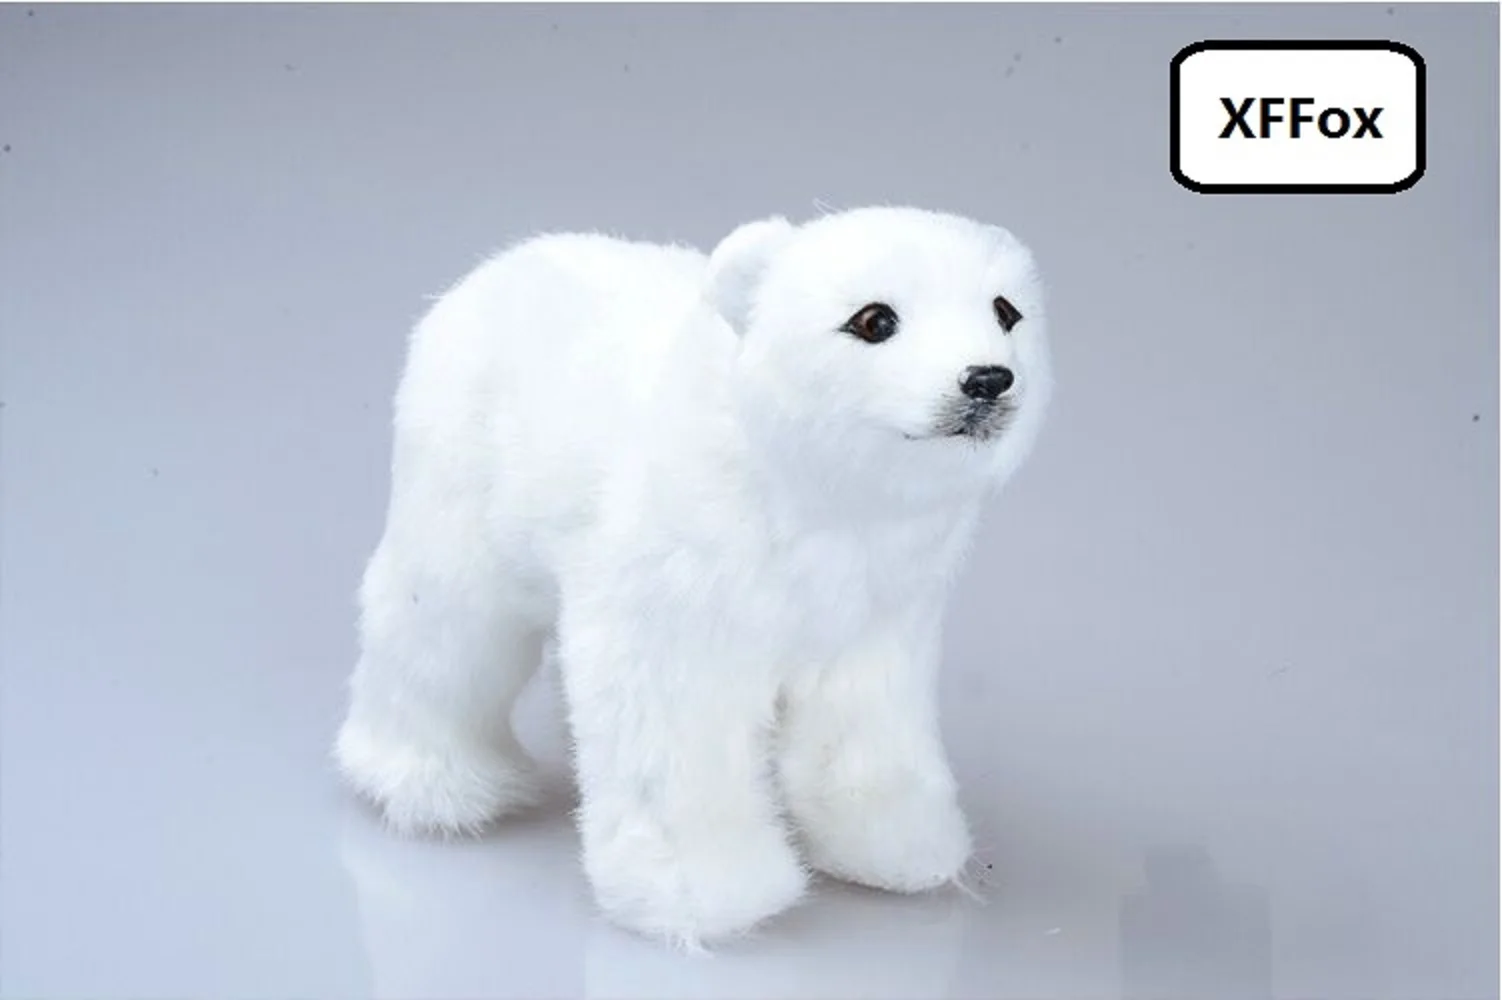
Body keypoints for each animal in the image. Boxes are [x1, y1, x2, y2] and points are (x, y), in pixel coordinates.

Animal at [334, 206, 1053, 947]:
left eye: (1006, 311)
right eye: (874, 318)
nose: (988, 380)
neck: (804, 494)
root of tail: (478, 279)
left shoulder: (877, 605)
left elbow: (860, 723)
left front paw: (894, 847)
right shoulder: (677, 586)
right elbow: (672, 738)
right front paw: (704, 893)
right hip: (461, 489)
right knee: (442, 628)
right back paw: (433, 783)